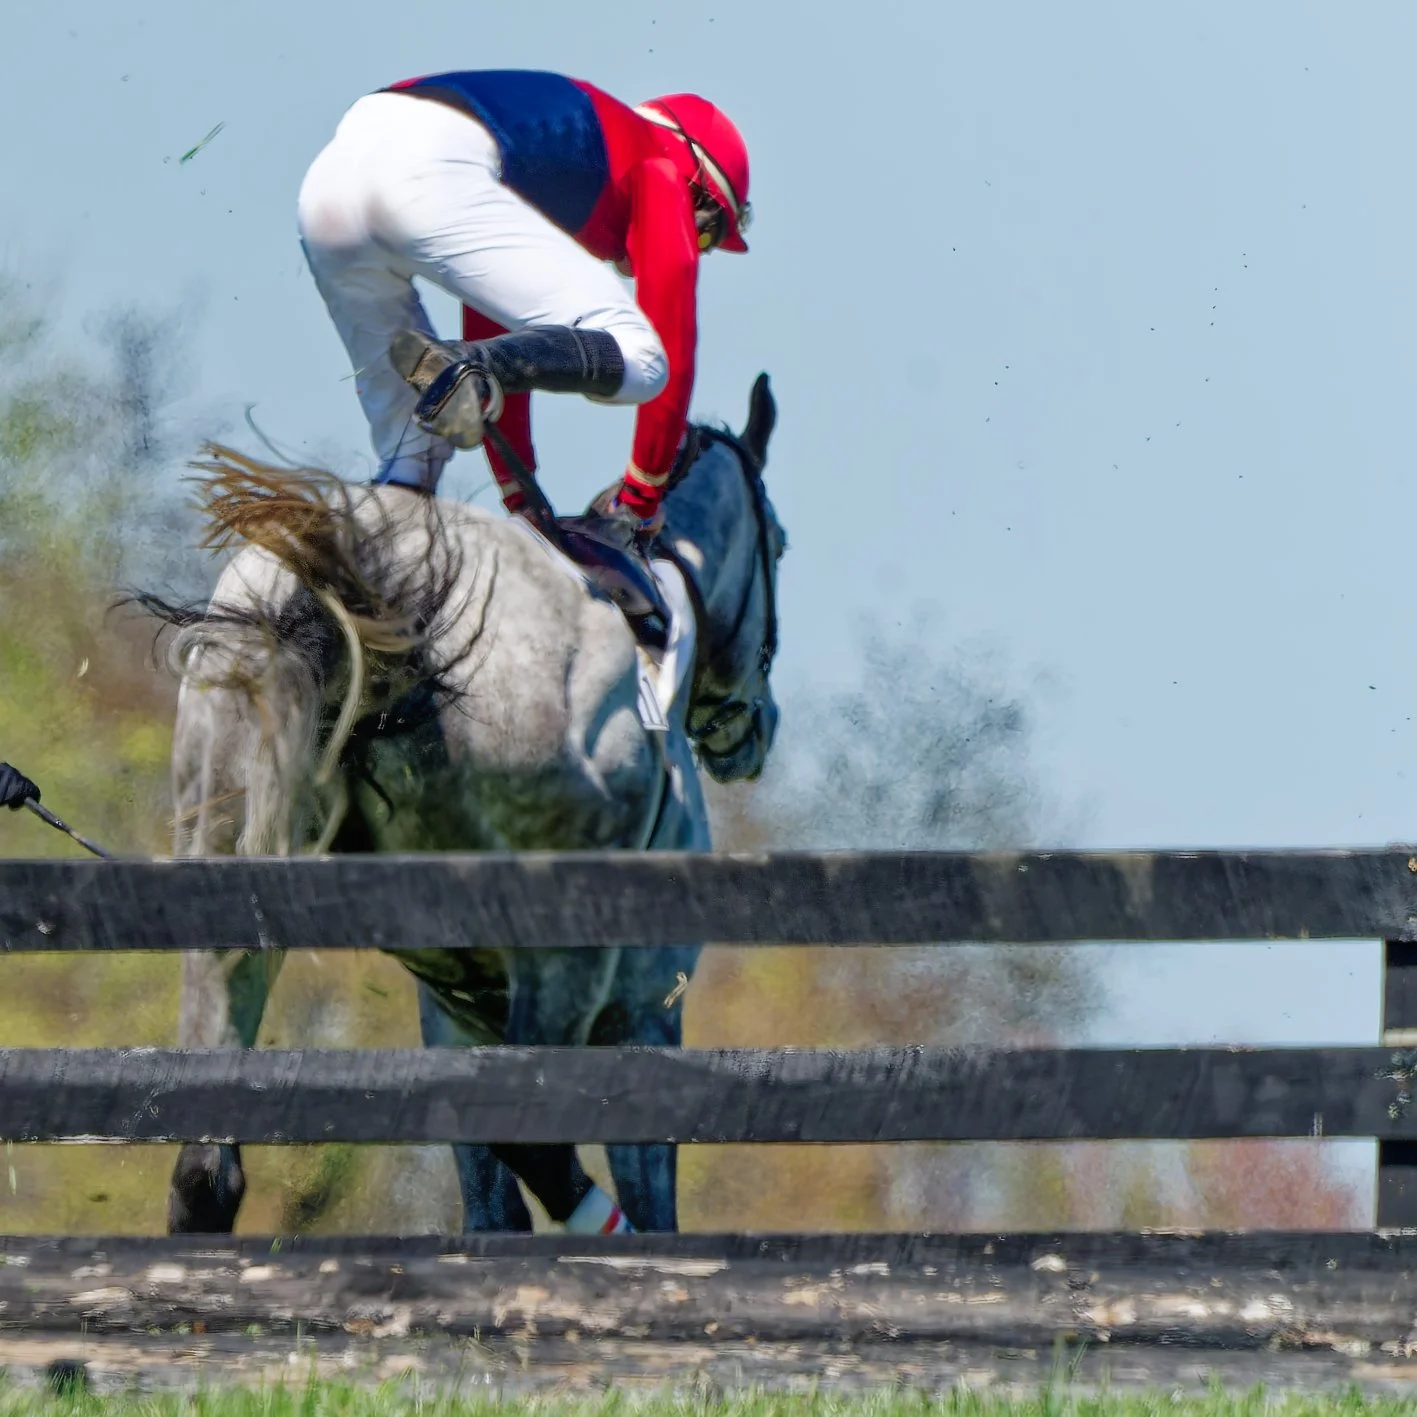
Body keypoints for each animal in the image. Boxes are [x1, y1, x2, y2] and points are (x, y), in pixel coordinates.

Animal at [150, 372, 786, 1235]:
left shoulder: (456, 1013)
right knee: (538, 1147)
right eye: (779, 544)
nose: (753, 729)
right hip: (561, 969)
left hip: (226, 896)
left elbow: (491, 1209)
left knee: (204, 1171)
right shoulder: (641, 1012)